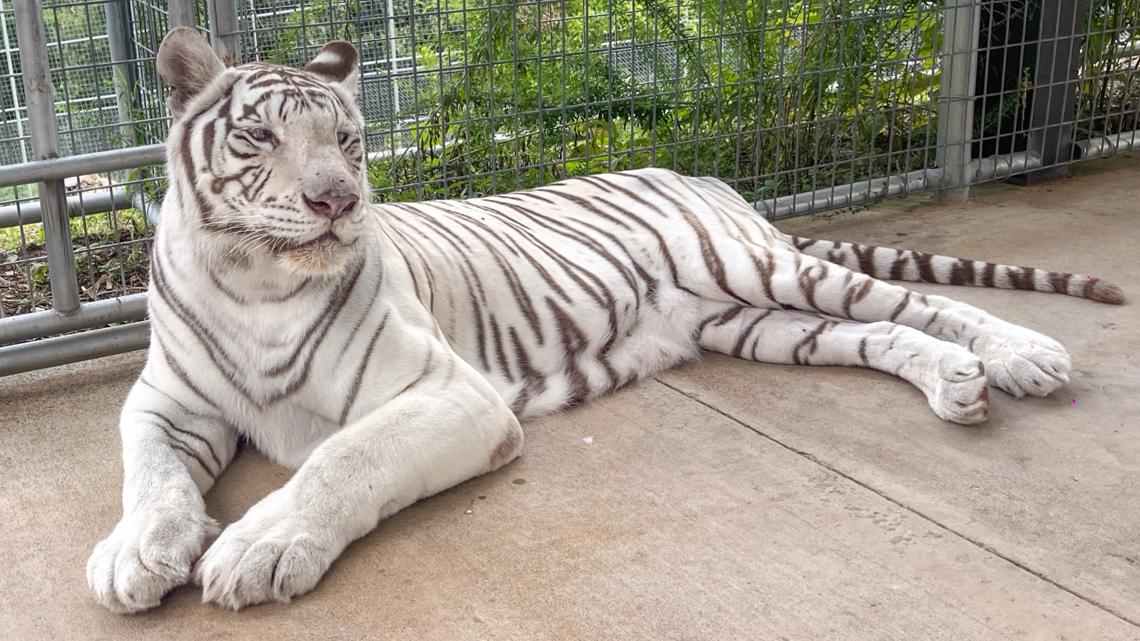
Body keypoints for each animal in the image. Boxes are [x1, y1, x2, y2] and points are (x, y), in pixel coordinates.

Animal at [86, 28, 1124, 613]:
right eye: (260, 136)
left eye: (346, 138)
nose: (337, 200)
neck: (254, 283)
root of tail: (702, 174)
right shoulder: (165, 403)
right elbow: (147, 473)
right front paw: (136, 550)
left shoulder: (449, 393)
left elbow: (345, 458)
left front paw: (258, 546)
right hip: (753, 322)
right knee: (887, 336)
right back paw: (957, 384)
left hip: (755, 265)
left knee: (924, 303)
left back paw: (1025, 356)